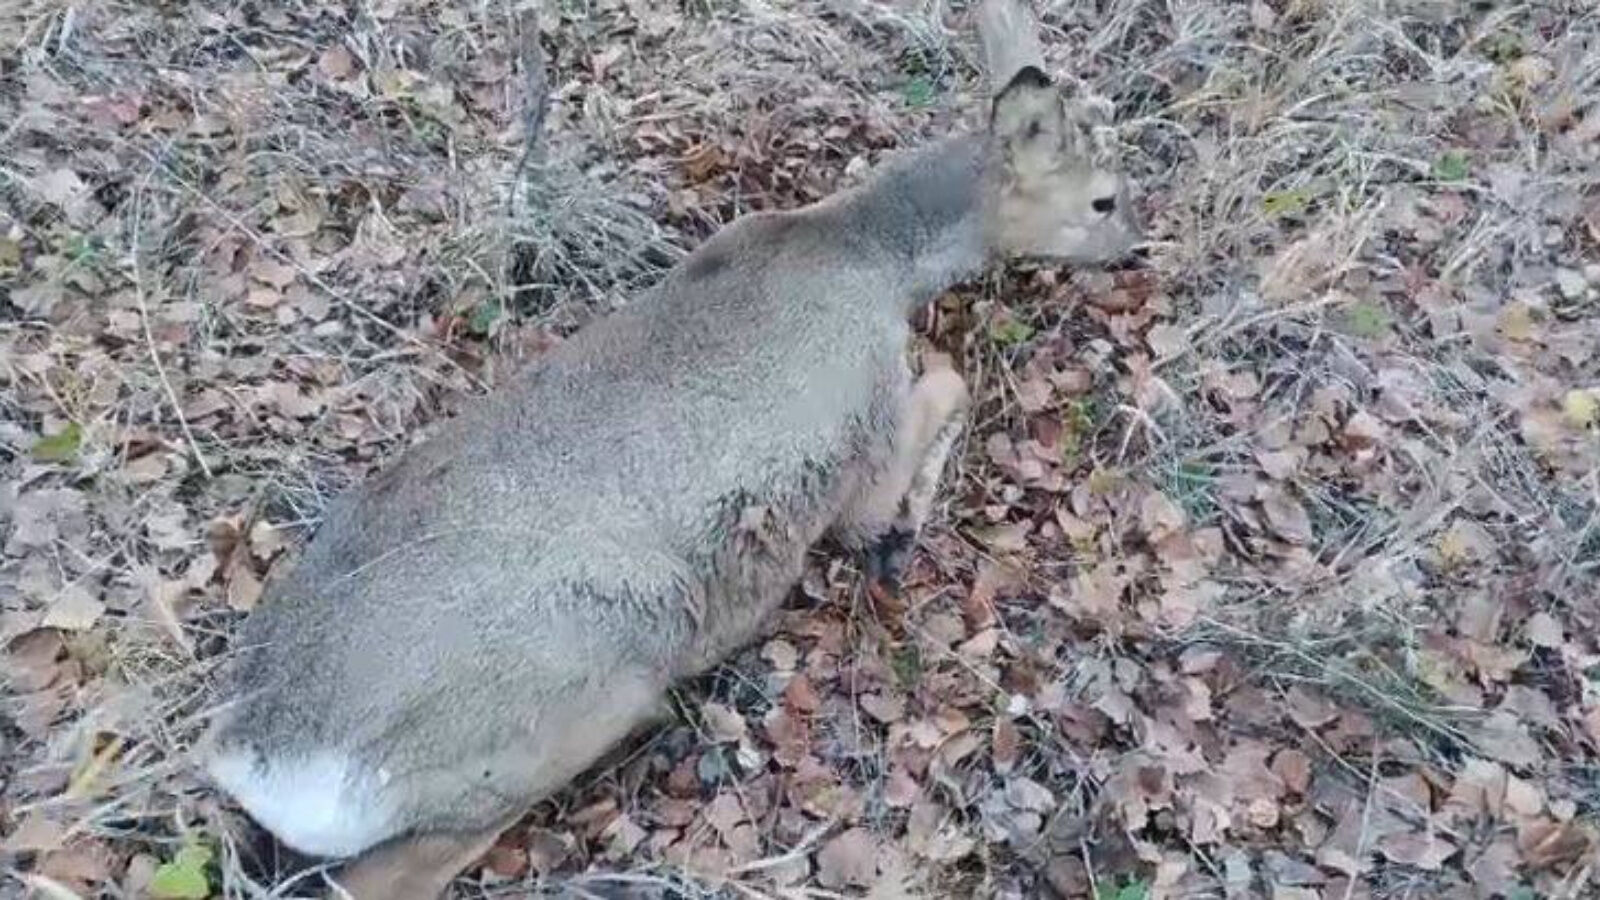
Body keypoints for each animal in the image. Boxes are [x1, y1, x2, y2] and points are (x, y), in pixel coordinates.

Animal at [203, 3, 1139, 890]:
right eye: (1103, 197)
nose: (1136, 248)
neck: (869, 256)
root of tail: (255, 748)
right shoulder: (862, 427)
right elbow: (943, 387)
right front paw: (901, 537)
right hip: (577, 683)